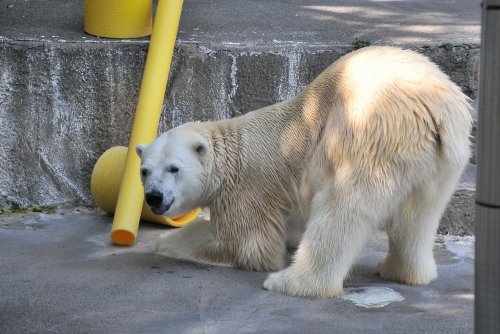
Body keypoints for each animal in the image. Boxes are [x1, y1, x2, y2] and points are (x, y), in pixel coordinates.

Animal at [137, 46, 472, 298]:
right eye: (144, 171)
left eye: (173, 168)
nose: (154, 197)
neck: (230, 156)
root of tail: (436, 107)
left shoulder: (246, 191)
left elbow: (245, 244)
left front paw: (165, 242)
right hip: (441, 161)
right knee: (419, 214)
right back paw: (401, 271)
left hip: (367, 130)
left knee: (341, 208)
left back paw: (294, 283)